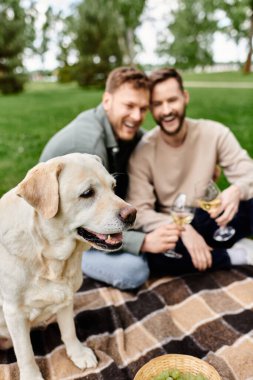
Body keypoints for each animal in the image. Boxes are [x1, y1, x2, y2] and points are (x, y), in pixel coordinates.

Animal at [0, 154, 136, 380]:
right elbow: (25, 353)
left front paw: (78, 354)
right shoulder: (14, 312)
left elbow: (69, 331)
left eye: (114, 187)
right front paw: (31, 375)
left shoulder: (65, 297)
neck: (49, 257)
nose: (132, 214)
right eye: (87, 193)